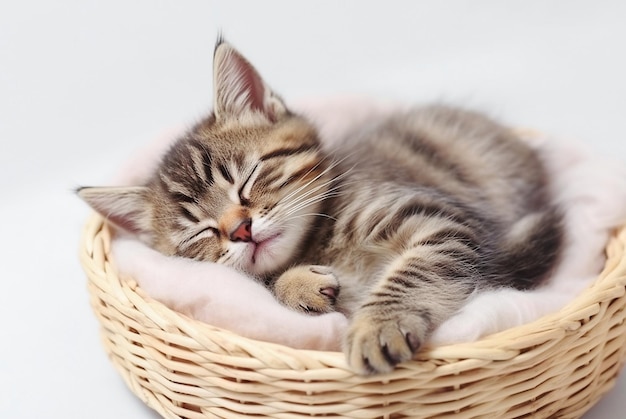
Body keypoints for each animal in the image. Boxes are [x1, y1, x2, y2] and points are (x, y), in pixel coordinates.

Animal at [77, 38, 560, 374]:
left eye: (246, 179)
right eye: (200, 231)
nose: (240, 230)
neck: (318, 241)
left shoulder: (442, 219)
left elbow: (416, 270)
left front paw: (376, 326)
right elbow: (267, 283)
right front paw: (300, 286)